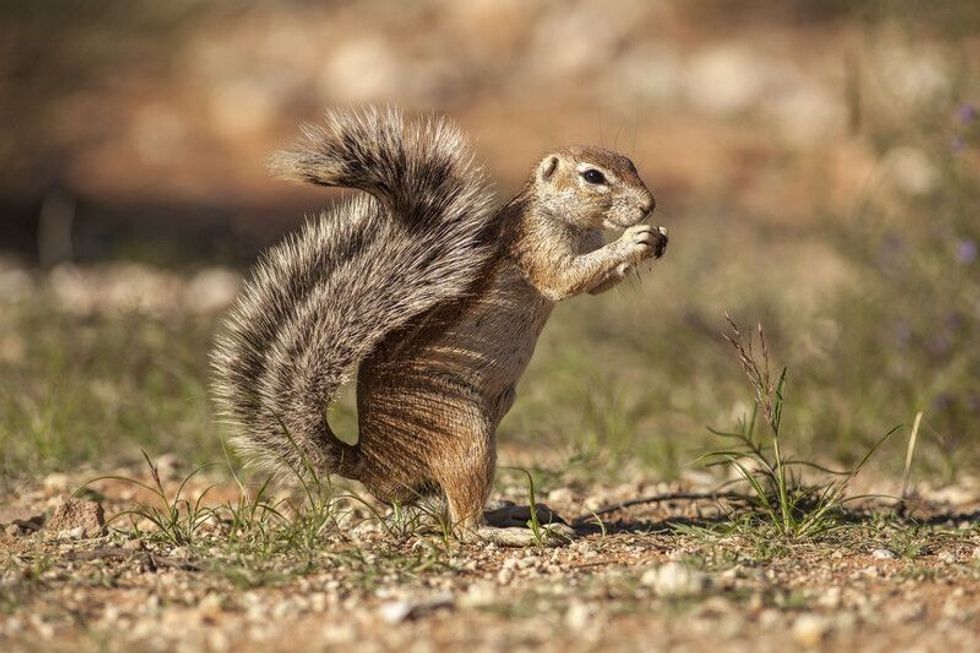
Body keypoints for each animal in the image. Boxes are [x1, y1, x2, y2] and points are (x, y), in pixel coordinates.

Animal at [212, 108, 668, 544]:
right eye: (593, 176)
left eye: (630, 163)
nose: (648, 206)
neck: (561, 216)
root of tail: (371, 466)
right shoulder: (536, 243)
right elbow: (564, 279)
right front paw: (635, 240)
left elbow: (595, 284)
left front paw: (654, 237)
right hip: (464, 433)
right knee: (463, 524)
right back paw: (509, 533)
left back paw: (513, 512)